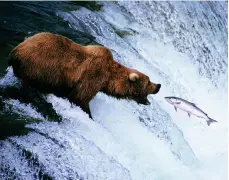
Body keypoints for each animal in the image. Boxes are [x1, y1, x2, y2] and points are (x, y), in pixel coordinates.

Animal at [7, 32, 161, 119]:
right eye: (148, 82)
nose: (159, 85)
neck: (108, 79)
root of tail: (16, 50)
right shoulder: (92, 77)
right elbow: (81, 98)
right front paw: (89, 114)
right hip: (40, 68)